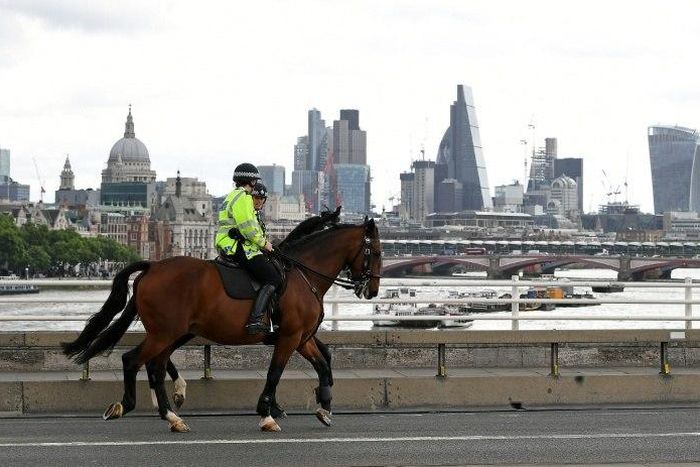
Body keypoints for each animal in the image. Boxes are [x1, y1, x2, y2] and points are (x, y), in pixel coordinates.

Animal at [62, 218, 381, 432]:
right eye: (376, 252)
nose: (373, 289)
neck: (303, 275)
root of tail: (153, 266)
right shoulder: (290, 337)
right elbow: (275, 373)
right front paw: (267, 413)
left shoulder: (301, 337)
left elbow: (324, 364)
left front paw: (324, 406)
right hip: (165, 332)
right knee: (134, 361)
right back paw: (132, 406)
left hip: (171, 332)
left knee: (155, 366)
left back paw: (171, 414)